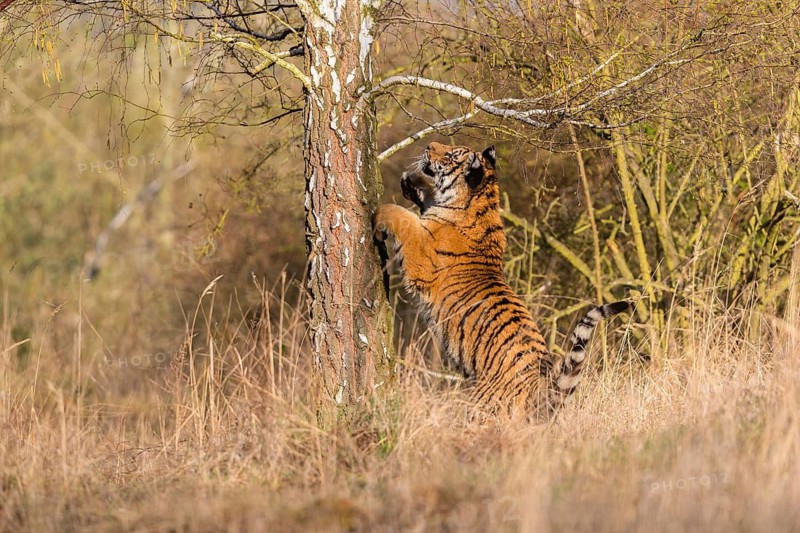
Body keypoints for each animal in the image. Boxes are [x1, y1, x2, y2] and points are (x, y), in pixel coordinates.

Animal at [373, 141, 628, 416]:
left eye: (451, 155)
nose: (429, 145)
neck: (479, 202)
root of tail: (540, 387)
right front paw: (411, 182)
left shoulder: (421, 251)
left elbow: (399, 215)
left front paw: (377, 216)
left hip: (477, 408)